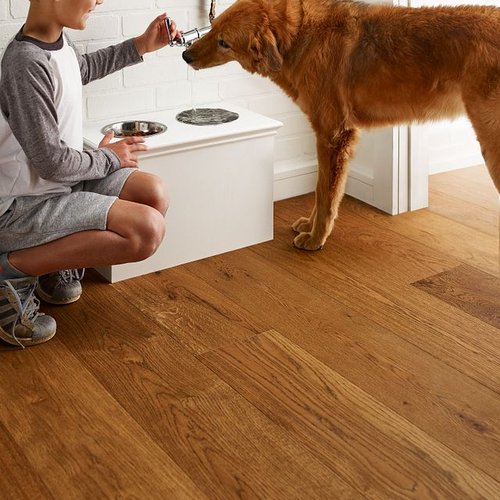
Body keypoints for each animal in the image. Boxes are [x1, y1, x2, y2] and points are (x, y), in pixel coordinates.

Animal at [184, 0, 500, 250]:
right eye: (213, 28)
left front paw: (315, 239)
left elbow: (326, 194)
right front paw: (309, 227)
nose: (185, 55)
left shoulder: (333, 135)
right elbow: (318, 189)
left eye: (224, 42)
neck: (300, 37)